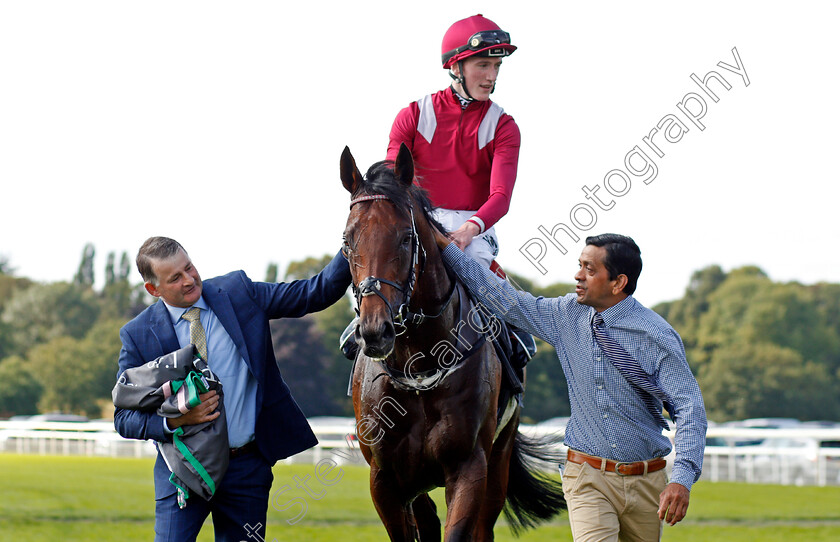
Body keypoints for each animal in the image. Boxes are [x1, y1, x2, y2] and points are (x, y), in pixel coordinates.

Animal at [340, 146, 564, 542]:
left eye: (406, 238)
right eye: (348, 241)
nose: (375, 331)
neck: (419, 366)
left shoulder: (469, 466)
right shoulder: (385, 478)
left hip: (500, 457)